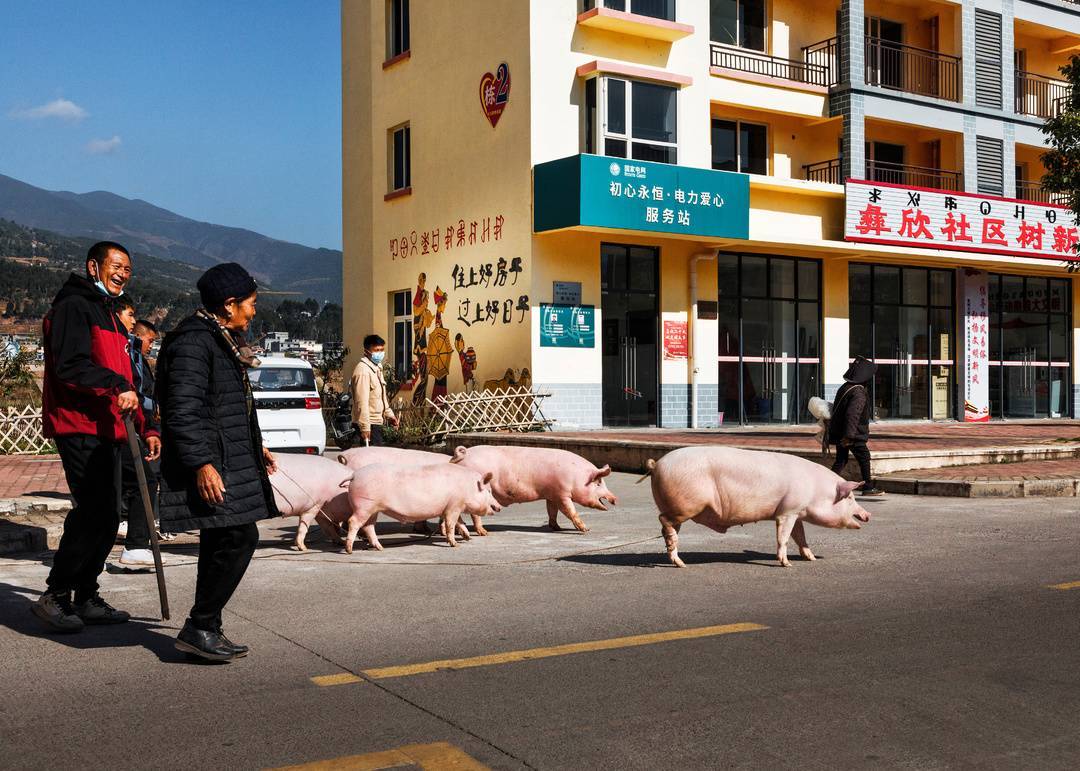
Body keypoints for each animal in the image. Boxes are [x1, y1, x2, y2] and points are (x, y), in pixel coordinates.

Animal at [341, 460, 501, 548]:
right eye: (488, 491)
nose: (499, 507)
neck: (468, 487)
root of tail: (354, 475)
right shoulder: (454, 506)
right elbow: (451, 524)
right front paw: (454, 544)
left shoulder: (451, 506)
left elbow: (460, 522)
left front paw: (468, 538)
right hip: (364, 506)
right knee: (353, 521)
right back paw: (349, 550)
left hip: (373, 510)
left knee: (369, 527)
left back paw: (380, 548)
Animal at [447, 440, 617, 531]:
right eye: (599, 482)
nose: (615, 498)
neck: (577, 477)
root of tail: (463, 455)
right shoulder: (562, 493)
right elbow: (570, 511)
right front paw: (586, 529)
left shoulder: (552, 494)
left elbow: (552, 511)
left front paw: (556, 528)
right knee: (474, 514)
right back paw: (482, 531)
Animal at [639, 444, 868, 565]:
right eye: (850, 498)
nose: (868, 515)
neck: (816, 490)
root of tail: (657, 465)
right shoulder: (787, 512)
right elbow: (783, 537)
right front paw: (787, 564)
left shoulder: (795, 511)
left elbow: (800, 536)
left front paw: (811, 559)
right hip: (685, 506)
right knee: (663, 520)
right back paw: (680, 562)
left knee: (668, 527)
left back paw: (678, 561)